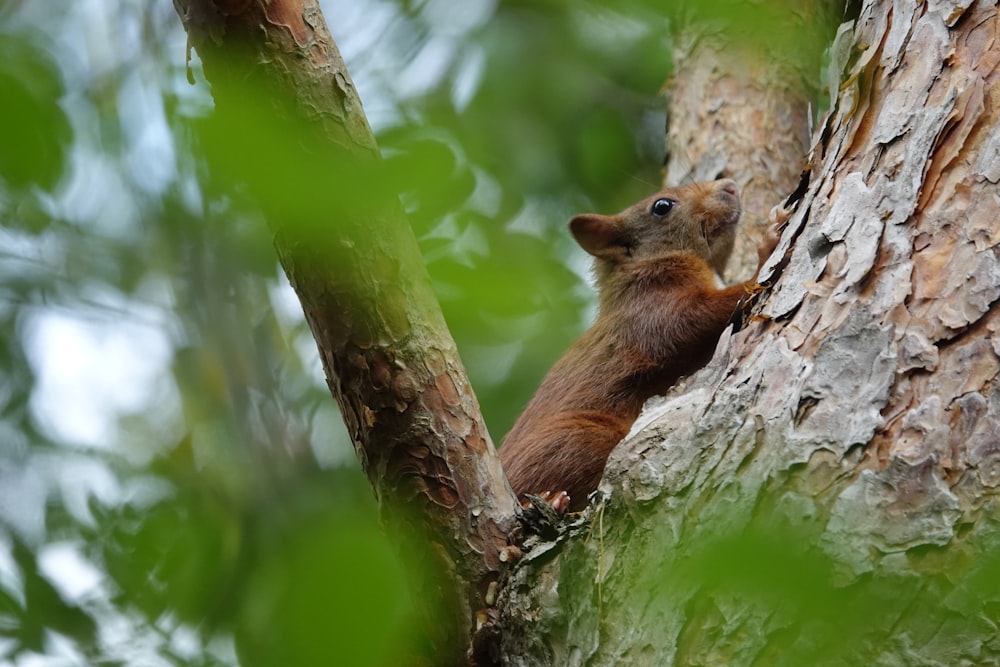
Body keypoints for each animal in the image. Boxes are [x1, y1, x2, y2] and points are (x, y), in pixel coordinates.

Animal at [504, 180, 776, 516]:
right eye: (662, 206)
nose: (730, 186)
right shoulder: (650, 311)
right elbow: (697, 316)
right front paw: (767, 251)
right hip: (580, 439)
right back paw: (551, 501)